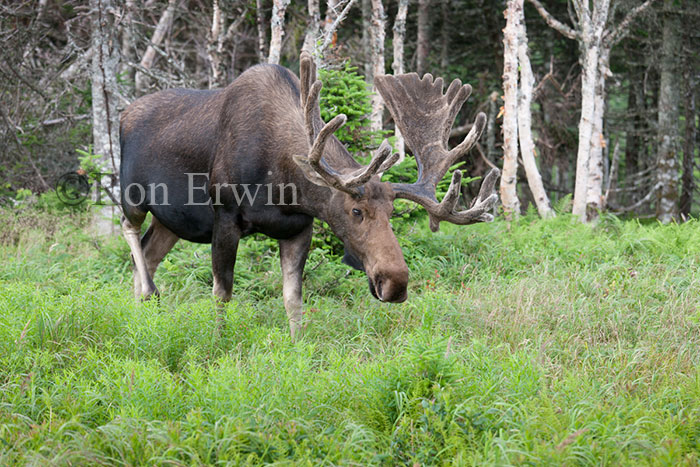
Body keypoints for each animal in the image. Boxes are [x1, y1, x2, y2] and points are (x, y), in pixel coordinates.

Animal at [119, 51, 498, 338]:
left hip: (172, 220)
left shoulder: (300, 227)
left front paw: (298, 348)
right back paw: (149, 295)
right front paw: (219, 342)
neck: (283, 187)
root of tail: (123, 113)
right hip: (131, 195)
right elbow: (221, 294)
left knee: (149, 254)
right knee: (131, 233)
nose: (396, 283)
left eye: (393, 214)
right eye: (356, 211)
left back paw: (139, 319)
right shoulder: (225, 216)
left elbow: (293, 299)